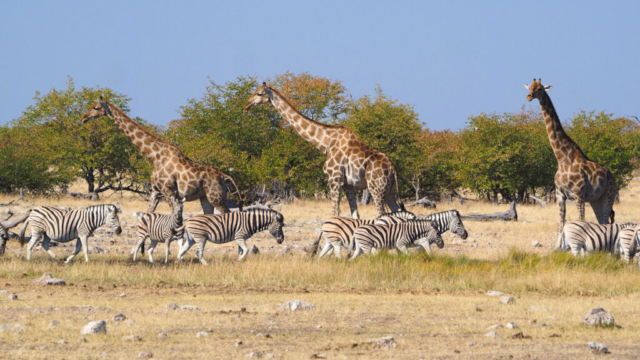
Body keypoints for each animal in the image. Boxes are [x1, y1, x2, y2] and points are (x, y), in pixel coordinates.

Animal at [80, 97, 238, 215]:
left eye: (96, 107)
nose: (83, 118)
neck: (154, 156)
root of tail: (224, 176)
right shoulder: (155, 191)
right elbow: (147, 215)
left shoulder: (169, 192)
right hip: (205, 197)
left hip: (216, 197)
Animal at [245, 82, 400, 218]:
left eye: (259, 93)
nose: (247, 105)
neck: (326, 144)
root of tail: (392, 168)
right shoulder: (348, 185)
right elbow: (354, 215)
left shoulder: (334, 180)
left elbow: (335, 214)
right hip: (390, 191)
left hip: (376, 189)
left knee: (383, 216)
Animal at [524, 78, 620, 231]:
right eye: (530, 87)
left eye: (539, 88)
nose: (528, 96)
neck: (562, 158)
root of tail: (612, 177)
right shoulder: (559, 195)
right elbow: (561, 225)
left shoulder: (578, 194)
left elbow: (581, 222)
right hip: (596, 200)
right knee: (602, 222)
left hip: (608, 196)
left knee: (605, 222)